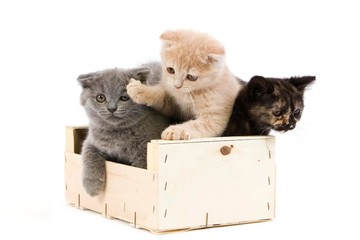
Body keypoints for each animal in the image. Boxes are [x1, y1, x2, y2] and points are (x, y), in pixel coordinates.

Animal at [77, 62, 169, 196]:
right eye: (100, 98)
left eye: (124, 97)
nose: (112, 108)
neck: (117, 135)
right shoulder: (92, 141)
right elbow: (89, 154)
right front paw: (92, 185)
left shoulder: (144, 152)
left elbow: (140, 168)